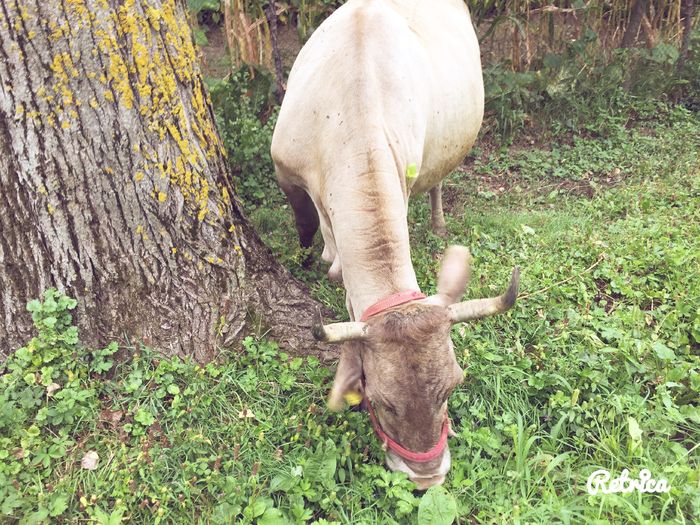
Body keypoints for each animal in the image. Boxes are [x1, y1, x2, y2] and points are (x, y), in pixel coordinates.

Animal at [270, 0, 520, 488]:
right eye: (380, 399)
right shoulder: (287, 174)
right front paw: (312, 259)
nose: (427, 478)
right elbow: (308, 229)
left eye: (453, 384)